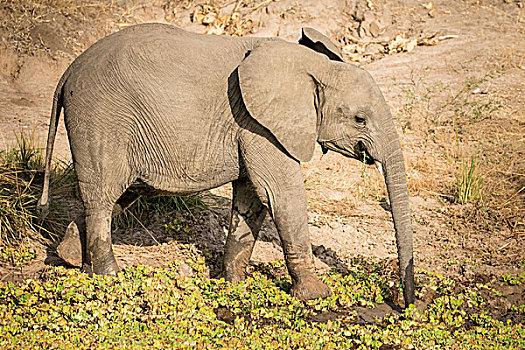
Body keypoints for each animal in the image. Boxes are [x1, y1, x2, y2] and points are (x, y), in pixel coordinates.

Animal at [35, 23, 414, 306]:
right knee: (104, 196)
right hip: (100, 119)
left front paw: (234, 283)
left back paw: (70, 257)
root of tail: (69, 70)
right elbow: (282, 194)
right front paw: (316, 295)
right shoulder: (258, 123)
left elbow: (253, 199)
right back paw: (109, 276)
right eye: (360, 119)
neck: (313, 66)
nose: (407, 304)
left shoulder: (253, 126)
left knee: (117, 194)